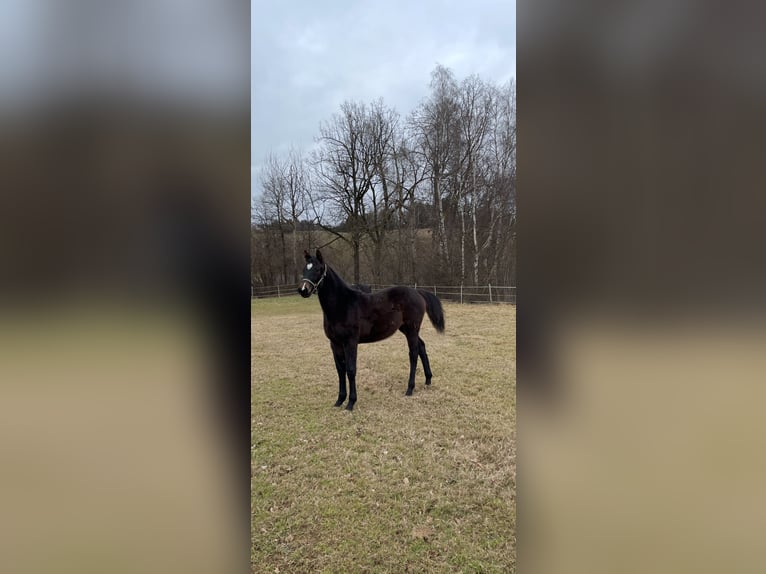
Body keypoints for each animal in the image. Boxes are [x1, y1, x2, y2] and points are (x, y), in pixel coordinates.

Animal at [298, 250, 448, 412]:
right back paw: (428, 380)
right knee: (421, 347)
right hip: (407, 329)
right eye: (304, 268)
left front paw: (351, 403)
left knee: (413, 354)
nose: (303, 290)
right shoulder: (334, 343)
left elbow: (351, 370)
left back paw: (410, 389)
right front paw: (339, 400)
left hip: (412, 329)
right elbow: (340, 370)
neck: (342, 305)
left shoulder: (350, 342)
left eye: (318, 269)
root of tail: (418, 292)